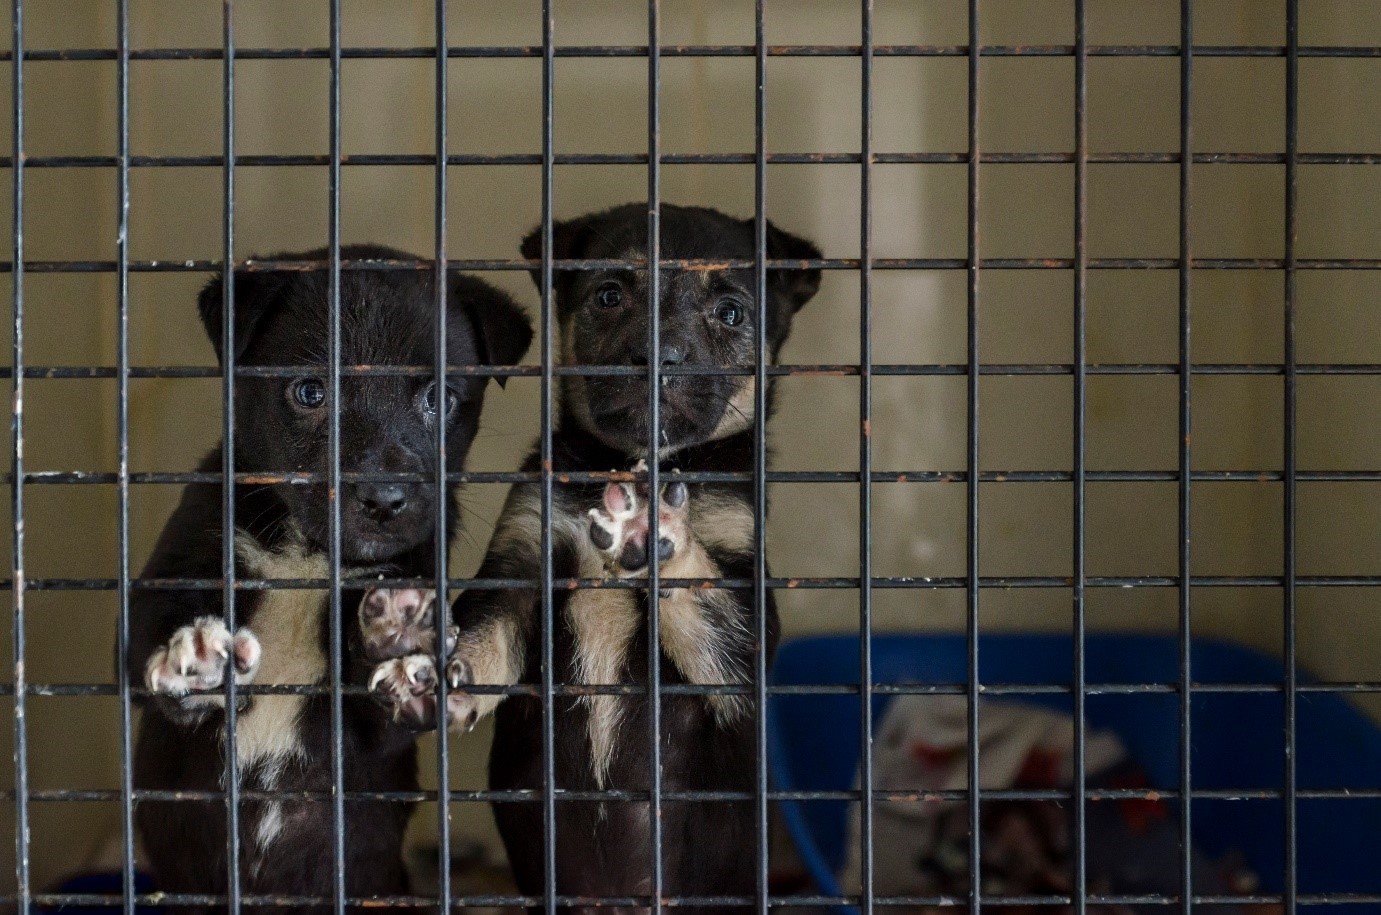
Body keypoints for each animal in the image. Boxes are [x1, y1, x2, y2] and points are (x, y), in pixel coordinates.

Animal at [125, 247, 533, 910]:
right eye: (310, 391)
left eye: (440, 397)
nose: (386, 498)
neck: (310, 556)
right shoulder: (182, 557)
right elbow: (146, 643)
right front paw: (197, 659)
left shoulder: (375, 735)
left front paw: (397, 635)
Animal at [367, 204, 817, 910]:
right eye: (608, 296)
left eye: (731, 312)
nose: (655, 358)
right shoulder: (523, 559)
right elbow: (484, 640)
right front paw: (431, 675)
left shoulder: (744, 640)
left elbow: (709, 605)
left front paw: (652, 527)